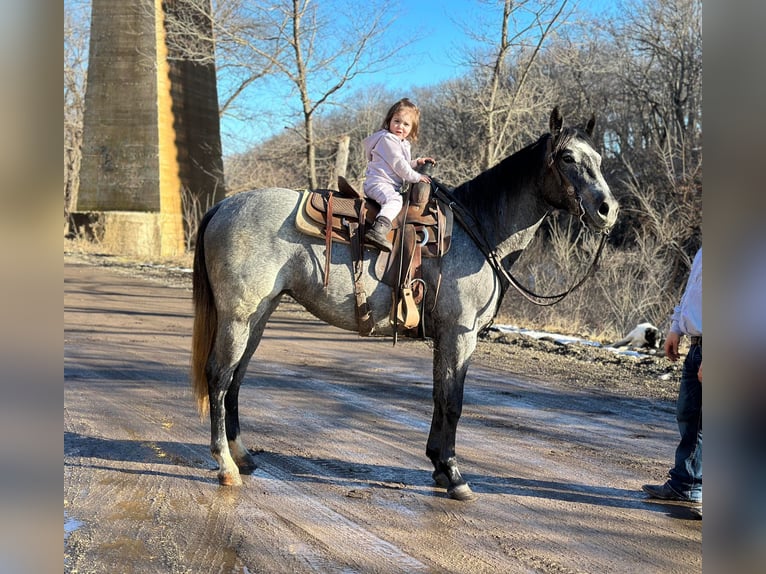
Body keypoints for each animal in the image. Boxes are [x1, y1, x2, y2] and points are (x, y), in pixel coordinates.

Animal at [190, 107, 616, 500]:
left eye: (599, 158)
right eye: (567, 158)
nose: (608, 209)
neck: (479, 230)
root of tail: (224, 207)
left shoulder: (446, 338)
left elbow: (439, 396)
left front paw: (439, 466)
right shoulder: (460, 335)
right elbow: (453, 402)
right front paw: (454, 475)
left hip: (258, 317)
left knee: (237, 379)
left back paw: (243, 456)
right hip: (237, 317)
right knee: (220, 377)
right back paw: (225, 466)